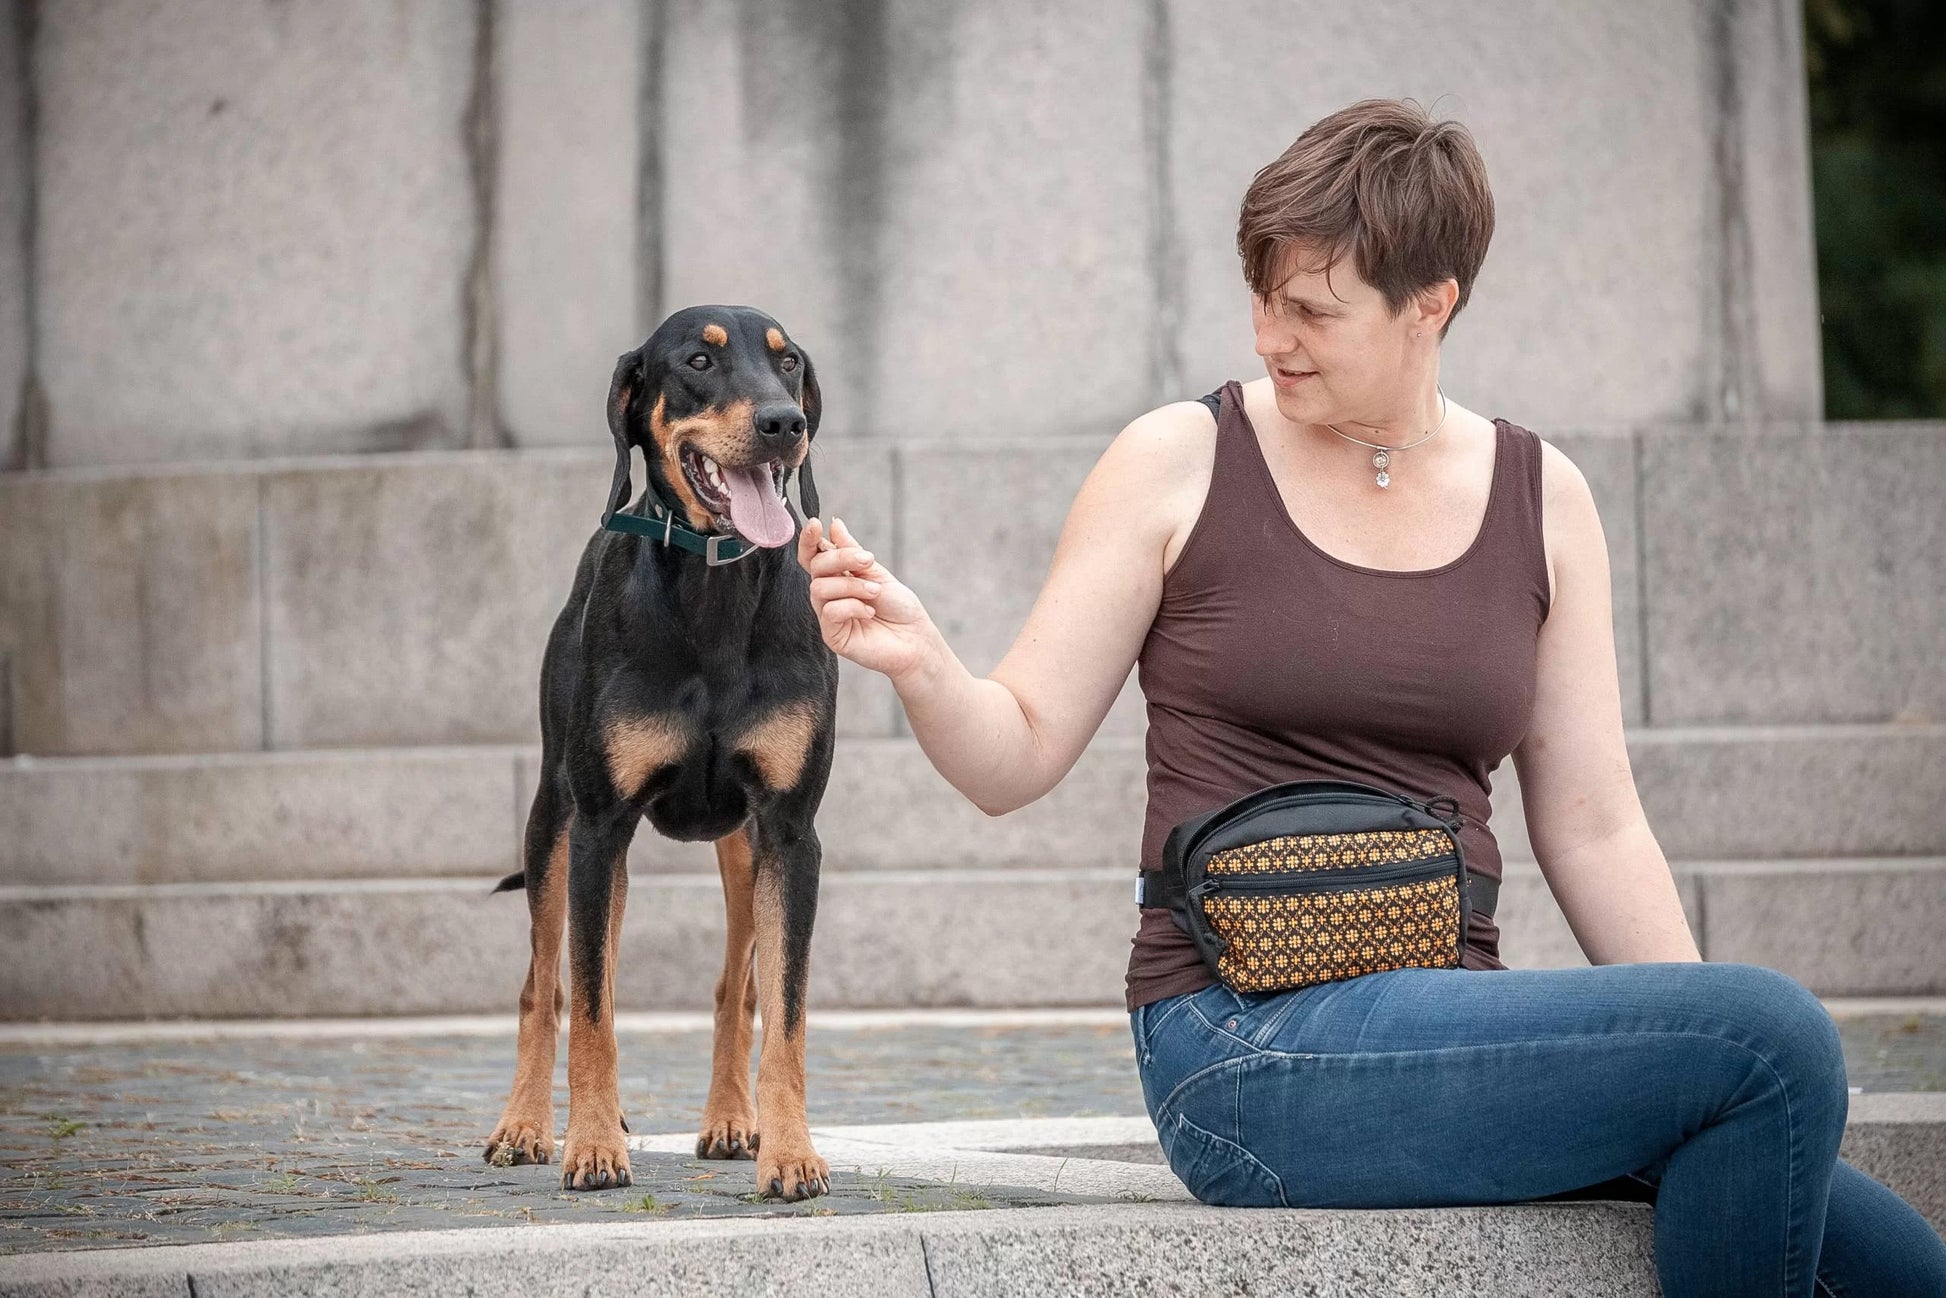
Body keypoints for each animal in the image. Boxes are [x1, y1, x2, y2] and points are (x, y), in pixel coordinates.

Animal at [486, 301, 836, 1198]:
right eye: (696, 362)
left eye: (788, 363)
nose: (784, 425)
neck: (715, 587)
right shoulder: (601, 825)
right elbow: (589, 1005)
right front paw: (590, 1145)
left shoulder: (790, 832)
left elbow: (786, 1010)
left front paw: (792, 1153)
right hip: (557, 826)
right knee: (545, 984)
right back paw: (528, 1125)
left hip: (742, 852)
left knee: (734, 989)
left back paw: (731, 1120)